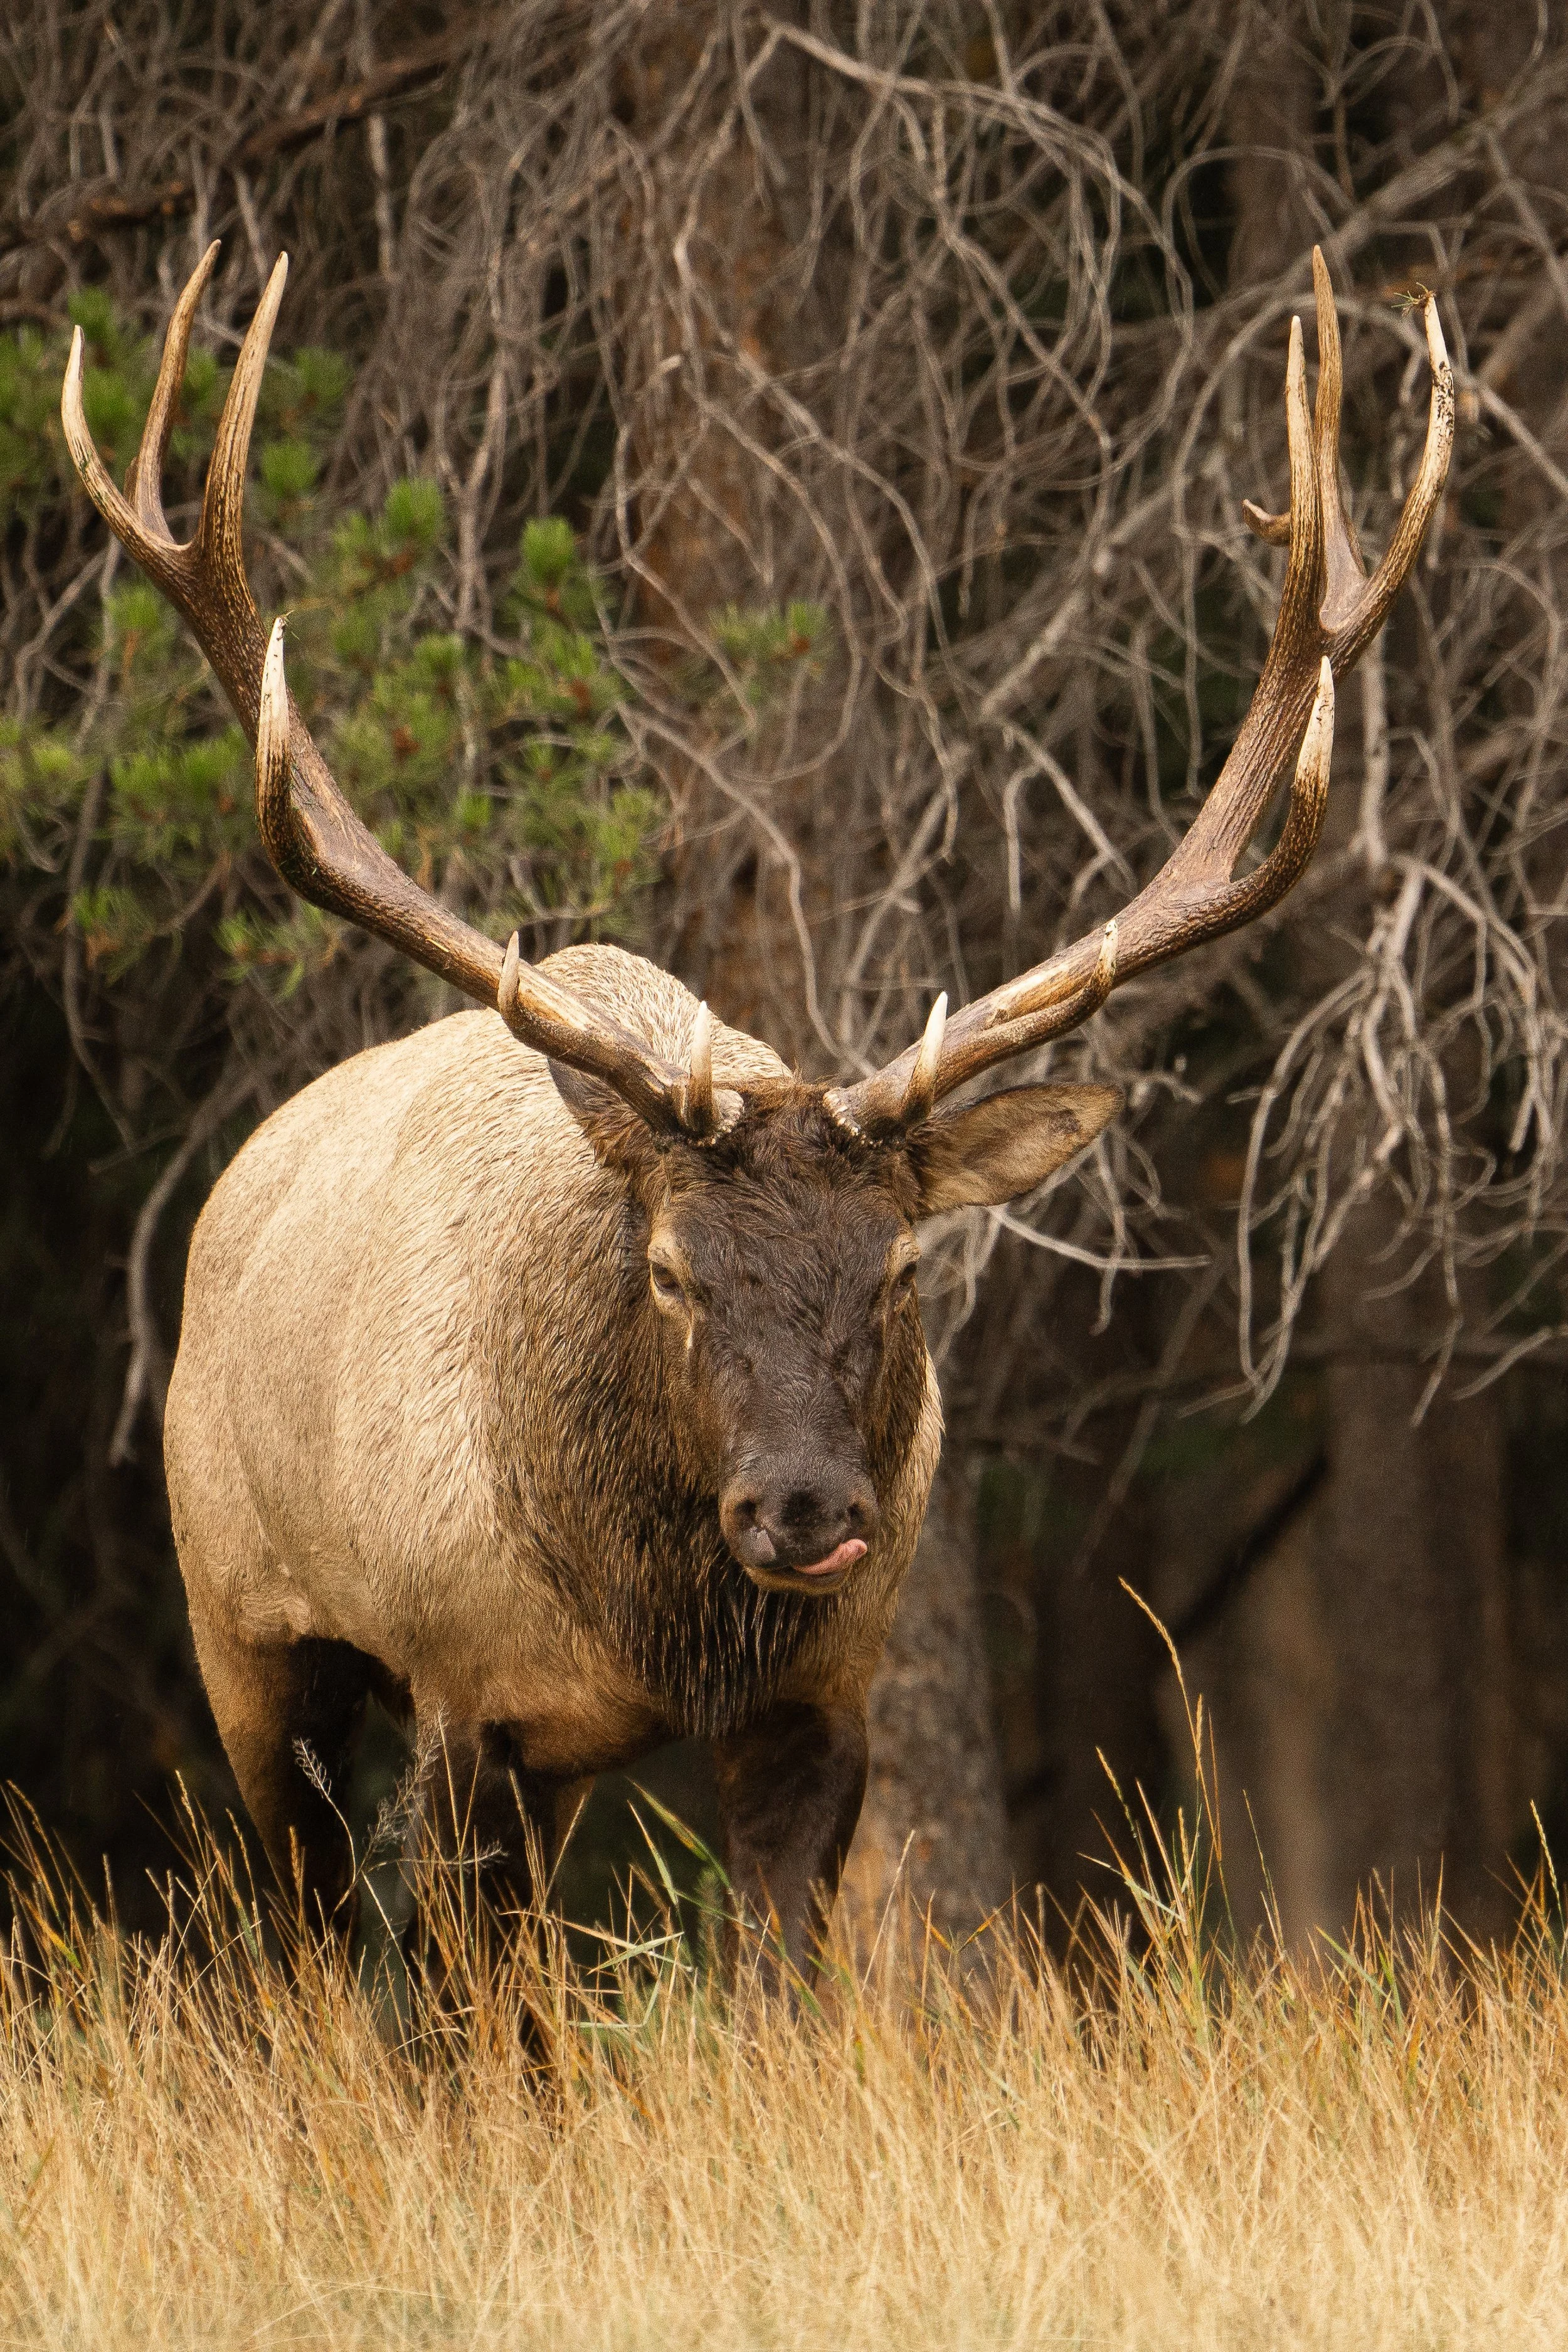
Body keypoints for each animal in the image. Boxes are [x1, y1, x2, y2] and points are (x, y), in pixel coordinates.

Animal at [61, 243, 1451, 1981]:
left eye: (906, 1266)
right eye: (669, 1268)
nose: (805, 1507)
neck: (656, 1619)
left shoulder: (818, 1698)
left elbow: (777, 1988)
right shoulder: (458, 1691)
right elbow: (472, 2015)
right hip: (243, 1627)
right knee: (316, 1946)